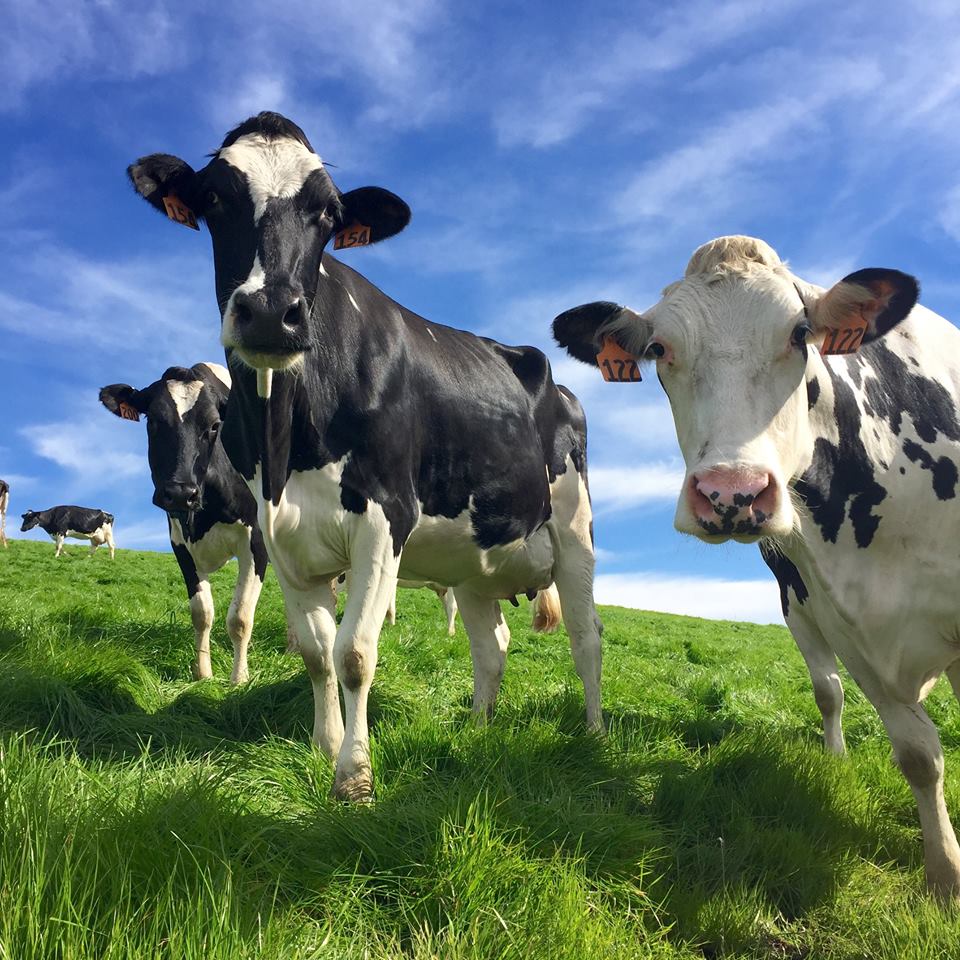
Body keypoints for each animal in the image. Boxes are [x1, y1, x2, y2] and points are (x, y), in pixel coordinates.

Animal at [100, 364, 270, 688]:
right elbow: (201, 612)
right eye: (153, 420)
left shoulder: (256, 541)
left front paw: (239, 679)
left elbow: (240, 617)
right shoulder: (180, 544)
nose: (180, 492)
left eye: (215, 426)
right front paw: (202, 674)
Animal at [127, 110, 600, 804]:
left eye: (328, 212)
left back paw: (593, 735)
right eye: (214, 198)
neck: (287, 443)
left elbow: (353, 652)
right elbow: (316, 652)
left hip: (573, 528)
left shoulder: (385, 519)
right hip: (473, 559)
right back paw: (478, 730)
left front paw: (354, 776)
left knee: (586, 636)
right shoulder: (281, 535)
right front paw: (325, 747)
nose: (270, 312)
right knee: (492, 646)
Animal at [552, 234, 960, 900]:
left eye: (800, 332)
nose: (731, 493)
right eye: (659, 348)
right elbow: (917, 755)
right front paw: (945, 874)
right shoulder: (843, 628)